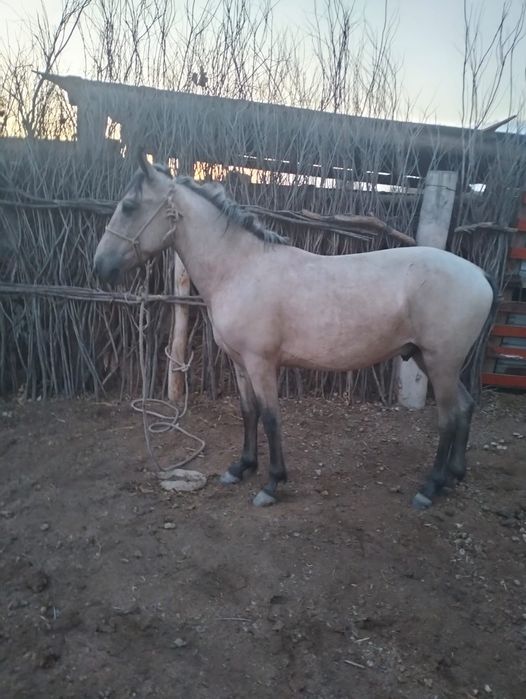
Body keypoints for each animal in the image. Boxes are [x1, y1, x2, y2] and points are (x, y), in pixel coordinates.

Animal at [94, 154, 496, 510]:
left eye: (129, 206)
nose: (100, 266)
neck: (240, 268)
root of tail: (479, 274)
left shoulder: (262, 363)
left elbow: (271, 418)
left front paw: (272, 484)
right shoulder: (240, 363)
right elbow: (248, 412)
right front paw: (241, 468)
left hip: (441, 362)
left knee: (448, 417)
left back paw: (430, 487)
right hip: (430, 360)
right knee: (465, 407)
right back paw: (454, 475)